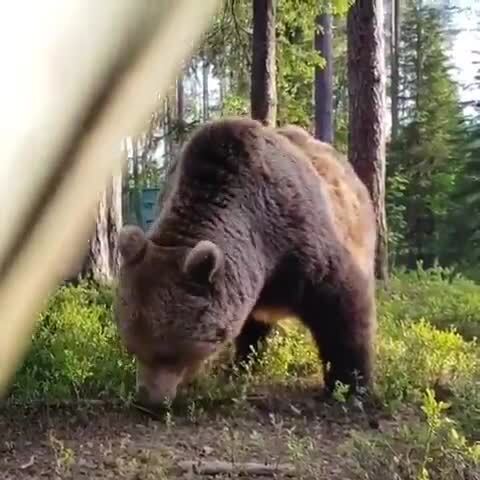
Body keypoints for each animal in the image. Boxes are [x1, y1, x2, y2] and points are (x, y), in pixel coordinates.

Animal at [114, 116, 376, 404]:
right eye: (132, 345)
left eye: (170, 354)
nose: (148, 399)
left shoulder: (304, 246)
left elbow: (342, 308)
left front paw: (351, 386)